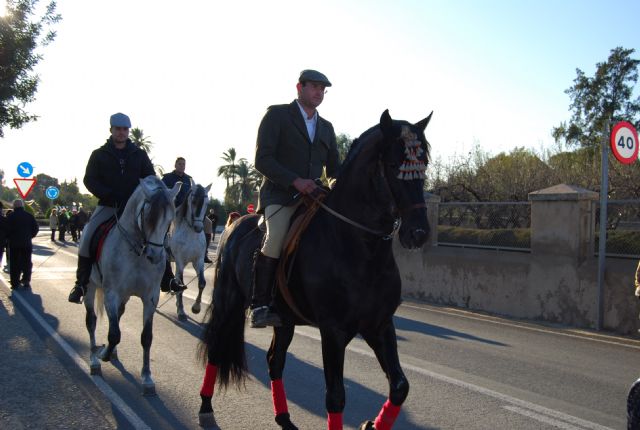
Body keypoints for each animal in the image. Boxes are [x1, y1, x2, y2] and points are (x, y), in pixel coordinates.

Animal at [84, 174, 180, 394]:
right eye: (148, 216)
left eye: (170, 218)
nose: (155, 256)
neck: (137, 251)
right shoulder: (111, 294)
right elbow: (114, 334)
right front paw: (103, 354)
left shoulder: (150, 298)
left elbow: (146, 337)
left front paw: (147, 378)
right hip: (90, 287)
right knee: (91, 321)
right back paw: (94, 359)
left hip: (126, 296)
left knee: (117, 317)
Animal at [169, 181, 211, 320]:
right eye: (193, 201)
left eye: (207, 203)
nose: (198, 227)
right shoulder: (180, 262)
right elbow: (181, 283)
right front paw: (181, 311)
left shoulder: (198, 261)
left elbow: (202, 283)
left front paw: (196, 308)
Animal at [198, 111, 432, 430]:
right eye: (395, 165)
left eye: (425, 164)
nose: (418, 233)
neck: (360, 247)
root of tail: (235, 221)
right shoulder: (333, 331)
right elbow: (335, 396)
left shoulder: (379, 325)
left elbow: (400, 386)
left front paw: (372, 424)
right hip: (228, 301)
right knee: (216, 346)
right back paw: (205, 406)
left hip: (284, 319)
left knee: (274, 361)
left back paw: (284, 418)